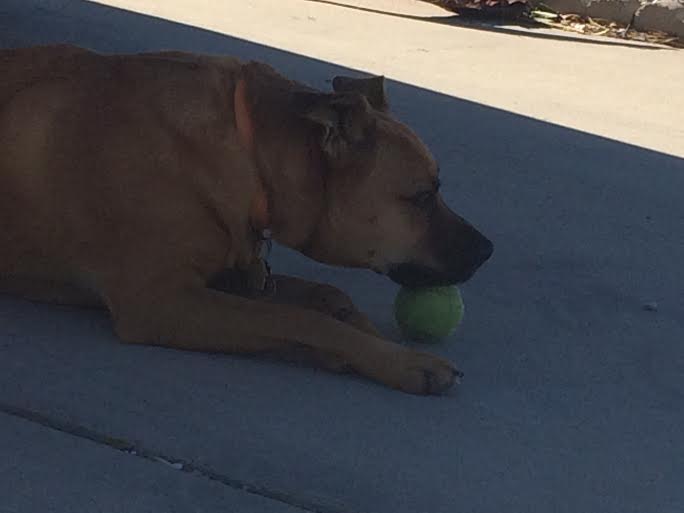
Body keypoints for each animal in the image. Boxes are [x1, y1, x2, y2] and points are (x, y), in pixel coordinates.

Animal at [0, 45, 492, 395]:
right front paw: (403, 362)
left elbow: (326, 295)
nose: (488, 251)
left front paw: (370, 340)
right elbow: (301, 320)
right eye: (423, 197)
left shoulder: (228, 276)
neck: (250, 153)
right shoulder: (161, 302)